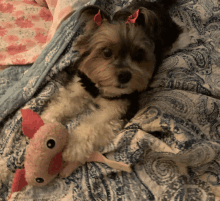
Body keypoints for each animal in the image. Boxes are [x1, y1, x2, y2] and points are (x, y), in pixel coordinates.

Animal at [40, 0, 191, 177]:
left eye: (139, 55)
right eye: (106, 52)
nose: (125, 76)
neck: (102, 88)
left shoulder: (114, 111)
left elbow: (91, 126)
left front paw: (73, 147)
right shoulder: (81, 86)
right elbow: (64, 103)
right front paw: (47, 119)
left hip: (172, 35)